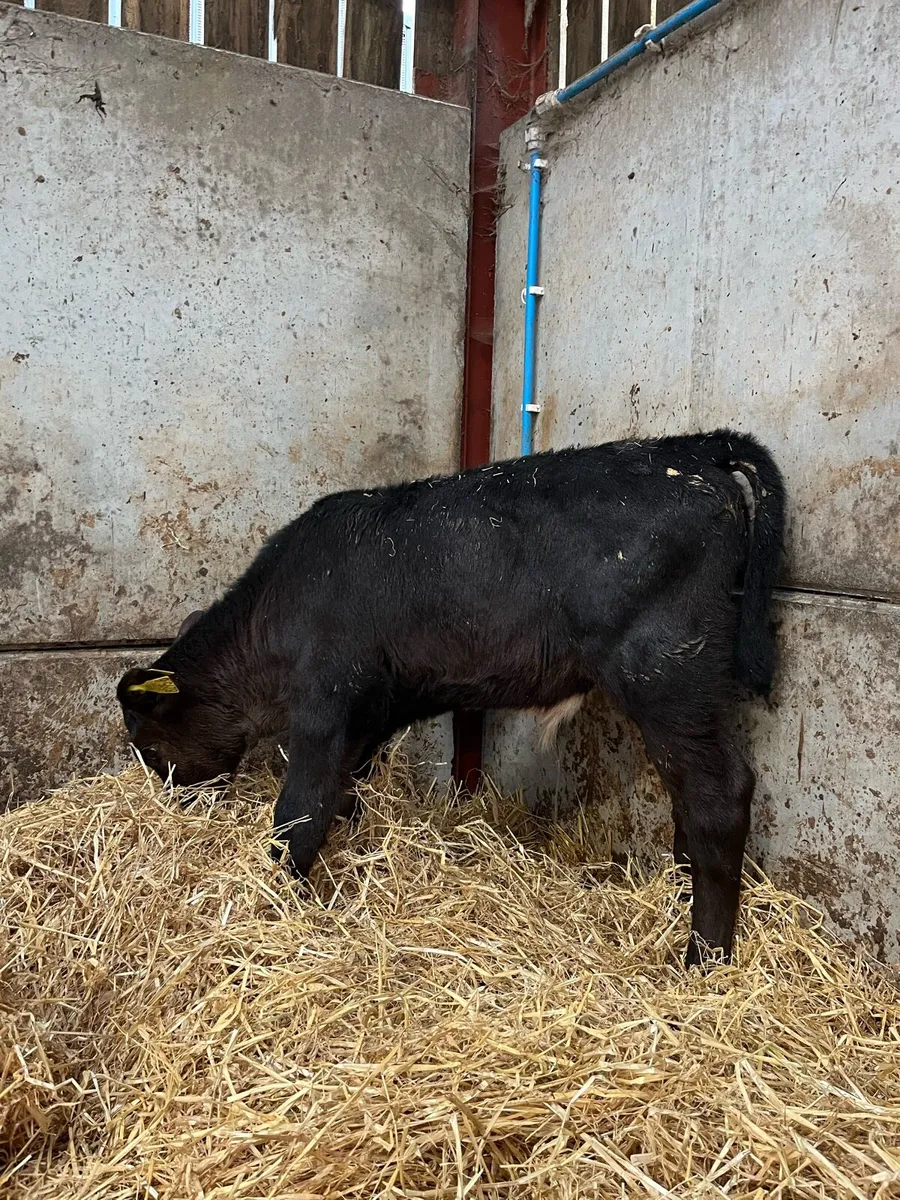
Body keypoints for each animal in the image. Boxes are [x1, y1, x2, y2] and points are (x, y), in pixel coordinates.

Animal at [117, 429, 784, 966]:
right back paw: (678, 898)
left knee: (717, 794)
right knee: (688, 795)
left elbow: (299, 813)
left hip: (666, 670)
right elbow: (345, 797)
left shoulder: (324, 705)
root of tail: (689, 449)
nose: (174, 804)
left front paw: (279, 900)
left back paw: (703, 958)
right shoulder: (372, 713)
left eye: (148, 742)